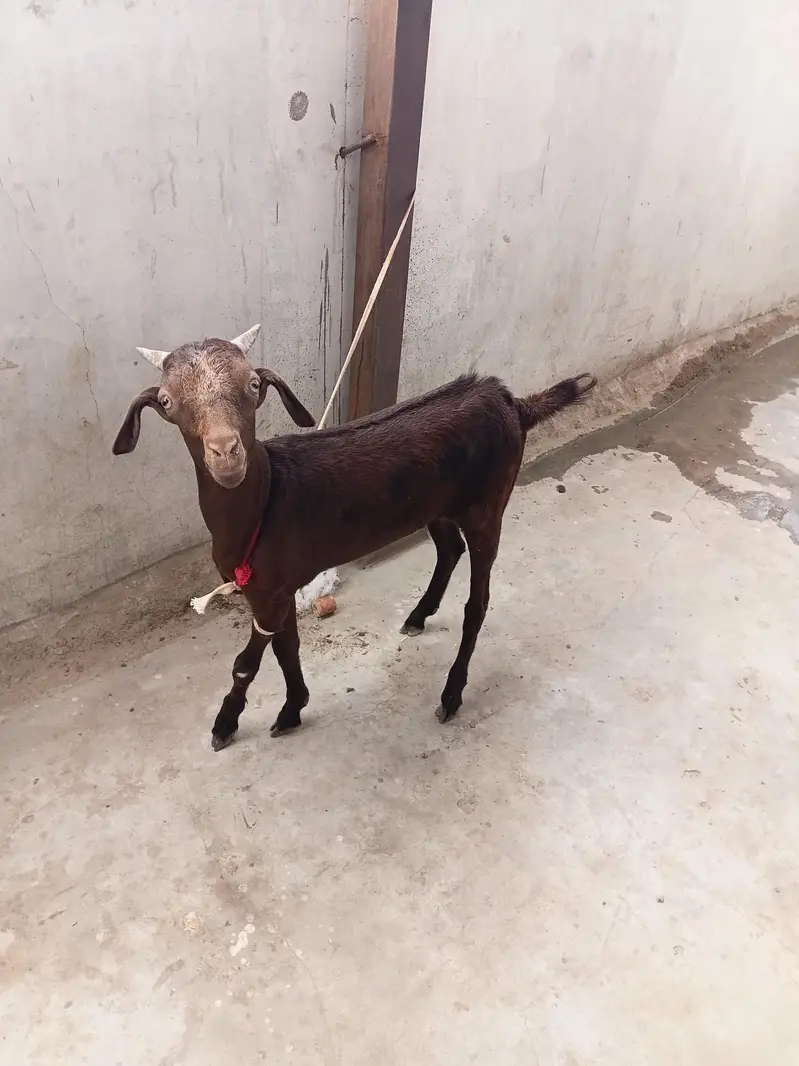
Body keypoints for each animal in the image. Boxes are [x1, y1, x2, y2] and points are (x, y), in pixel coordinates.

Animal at [113, 324, 596, 750]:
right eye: (167, 401)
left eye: (253, 385)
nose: (226, 453)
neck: (266, 499)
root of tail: (512, 401)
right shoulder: (277, 589)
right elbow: (287, 647)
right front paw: (293, 709)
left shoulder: (268, 592)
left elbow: (245, 665)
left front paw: (225, 725)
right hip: (435, 506)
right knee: (449, 549)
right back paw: (418, 615)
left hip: (488, 505)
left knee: (477, 602)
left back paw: (451, 694)